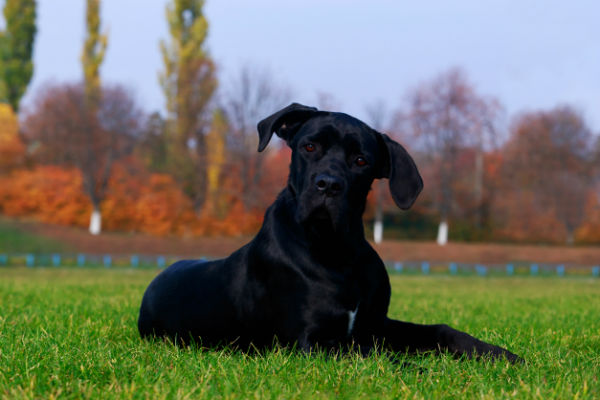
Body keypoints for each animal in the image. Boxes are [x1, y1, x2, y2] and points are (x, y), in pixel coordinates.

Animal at [138, 103, 516, 362]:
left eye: (361, 160)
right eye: (309, 147)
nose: (328, 185)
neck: (337, 249)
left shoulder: (375, 324)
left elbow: (439, 330)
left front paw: (499, 355)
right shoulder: (312, 341)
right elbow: (377, 358)